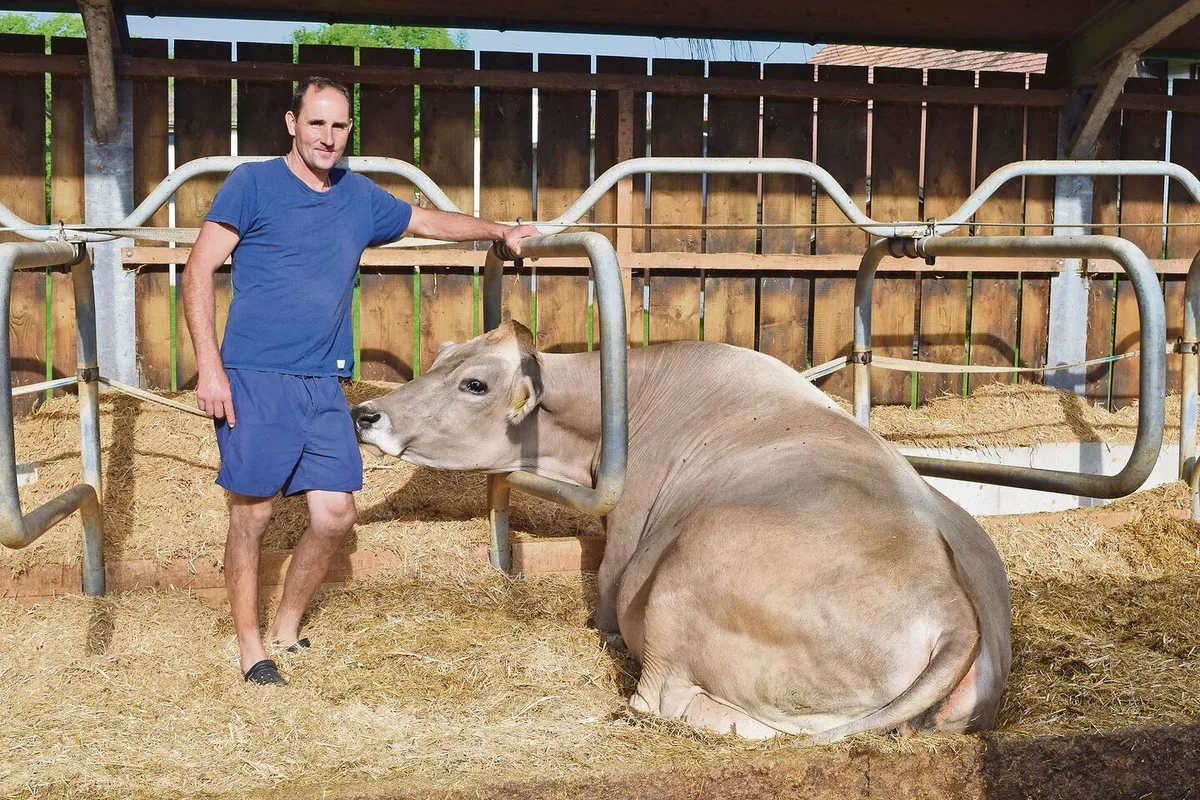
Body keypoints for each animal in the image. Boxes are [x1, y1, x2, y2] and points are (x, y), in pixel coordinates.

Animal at [352, 321, 1011, 742]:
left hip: (692, 566)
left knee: (662, 698)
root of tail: (952, 604)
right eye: (442, 359)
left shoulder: (625, 538)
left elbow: (607, 592)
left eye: (476, 384)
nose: (366, 413)